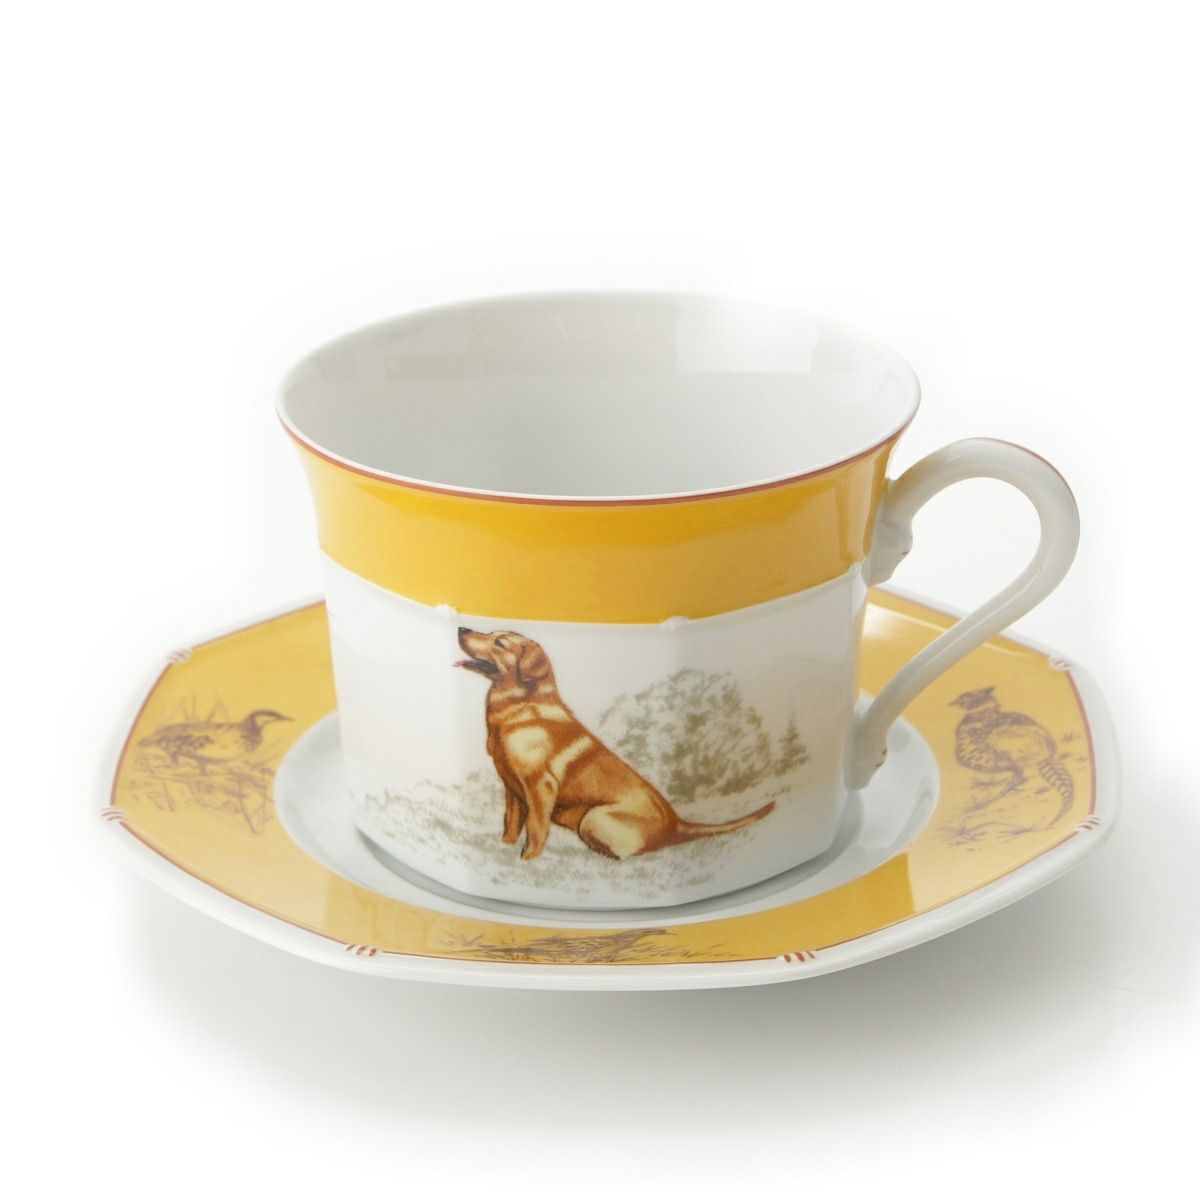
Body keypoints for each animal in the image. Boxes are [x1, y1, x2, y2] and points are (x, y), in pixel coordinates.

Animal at [456, 628, 775, 861]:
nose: (462, 628)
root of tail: (676, 823)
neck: (520, 709)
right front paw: (505, 848)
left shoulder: (539, 788)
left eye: (499, 642)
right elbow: (511, 823)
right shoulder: (512, 788)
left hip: (593, 818)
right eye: (490, 633)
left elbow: (535, 830)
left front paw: (528, 861)